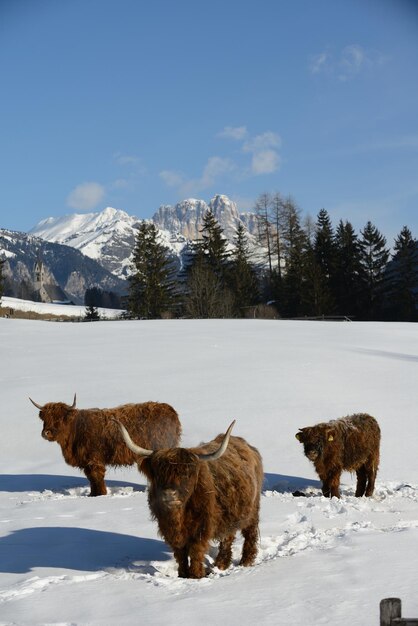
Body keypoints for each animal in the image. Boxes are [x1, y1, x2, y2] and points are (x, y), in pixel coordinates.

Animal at [29, 392, 180, 494]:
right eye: (45, 419)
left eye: (59, 418)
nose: (46, 433)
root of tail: (170, 410)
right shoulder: (87, 463)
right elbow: (91, 479)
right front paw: (92, 495)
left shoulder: (94, 460)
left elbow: (97, 478)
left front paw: (100, 495)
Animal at [116, 416, 262, 576]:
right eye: (158, 474)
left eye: (186, 474)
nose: (169, 494)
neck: (179, 515)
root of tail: (247, 445)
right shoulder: (171, 530)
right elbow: (180, 555)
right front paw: (182, 575)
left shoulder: (201, 529)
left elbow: (196, 552)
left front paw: (196, 575)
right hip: (230, 514)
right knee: (227, 536)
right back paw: (221, 564)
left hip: (253, 509)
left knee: (250, 533)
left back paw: (246, 562)